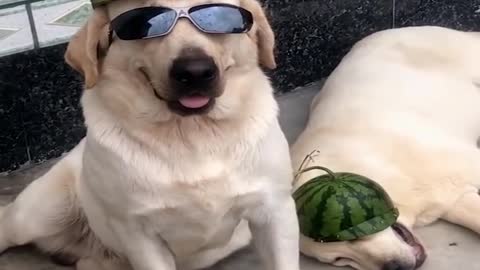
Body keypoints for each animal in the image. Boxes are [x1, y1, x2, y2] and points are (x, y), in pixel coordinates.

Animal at [0, 0, 300, 270]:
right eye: (142, 23)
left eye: (219, 16)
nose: (195, 72)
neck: (193, 135)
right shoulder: (141, 235)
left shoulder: (275, 210)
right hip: (37, 214)